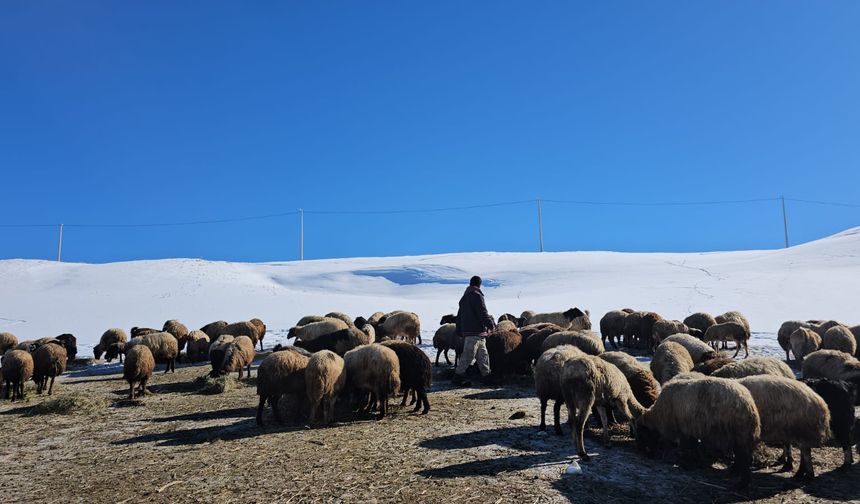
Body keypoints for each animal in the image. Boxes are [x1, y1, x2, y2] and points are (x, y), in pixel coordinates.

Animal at [632, 376, 760, 486]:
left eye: (641, 434)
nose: (643, 453)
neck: (658, 415)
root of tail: (748, 403)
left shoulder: (684, 429)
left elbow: (686, 448)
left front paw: (686, 464)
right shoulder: (690, 429)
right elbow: (693, 447)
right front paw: (696, 462)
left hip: (739, 432)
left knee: (743, 457)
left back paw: (743, 483)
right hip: (739, 434)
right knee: (741, 456)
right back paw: (734, 474)